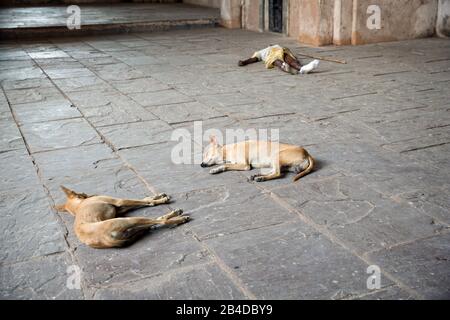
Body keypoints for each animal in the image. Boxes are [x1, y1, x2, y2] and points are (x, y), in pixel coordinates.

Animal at [53, 186, 189, 249]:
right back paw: (178, 218)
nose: (89, 194)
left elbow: (145, 199)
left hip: (132, 226)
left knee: (154, 223)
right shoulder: (120, 202)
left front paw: (156, 196)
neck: (78, 207)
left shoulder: (120, 208)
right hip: (128, 220)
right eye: (81, 194)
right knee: (161, 221)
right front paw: (161, 199)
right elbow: (143, 201)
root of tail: (106, 240)